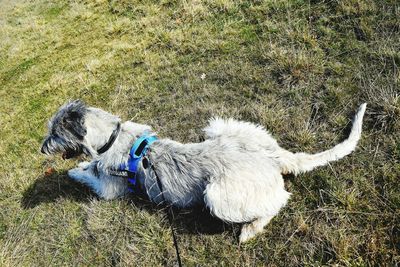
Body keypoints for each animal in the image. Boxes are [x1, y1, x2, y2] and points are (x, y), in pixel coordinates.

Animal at [39, 100, 366, 243]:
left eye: (55, 133)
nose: (42, 149)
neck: (113, 137)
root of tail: (273, 157)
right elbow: (90, 166)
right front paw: (83, 164)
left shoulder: (110, 189)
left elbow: (89, 176)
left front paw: (75, 171)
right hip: (221, 126)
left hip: (218, 195)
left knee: (280, 200)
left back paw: (249, 230)